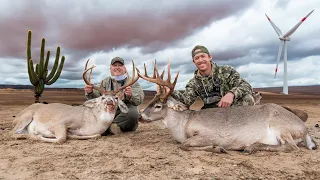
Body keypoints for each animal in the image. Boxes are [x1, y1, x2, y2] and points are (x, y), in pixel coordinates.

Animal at [10, 59, 139, 143]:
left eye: (116, 97)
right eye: (102, 97)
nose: (109, 101)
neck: (92, 122)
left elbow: (96, 135)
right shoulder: (59, 123)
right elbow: (61, 139)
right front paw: (40, 136)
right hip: (25, 117)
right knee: (12, 133)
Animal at [136, 61, 316, 153]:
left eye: (158, 105)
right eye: (150, 103)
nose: (140, 116)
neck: (183, 124)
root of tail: (304, 129)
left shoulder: (208, 134)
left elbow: (185, 145)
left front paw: (218, 148)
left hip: (281, 126)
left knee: (291, 147)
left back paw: (249, 147)